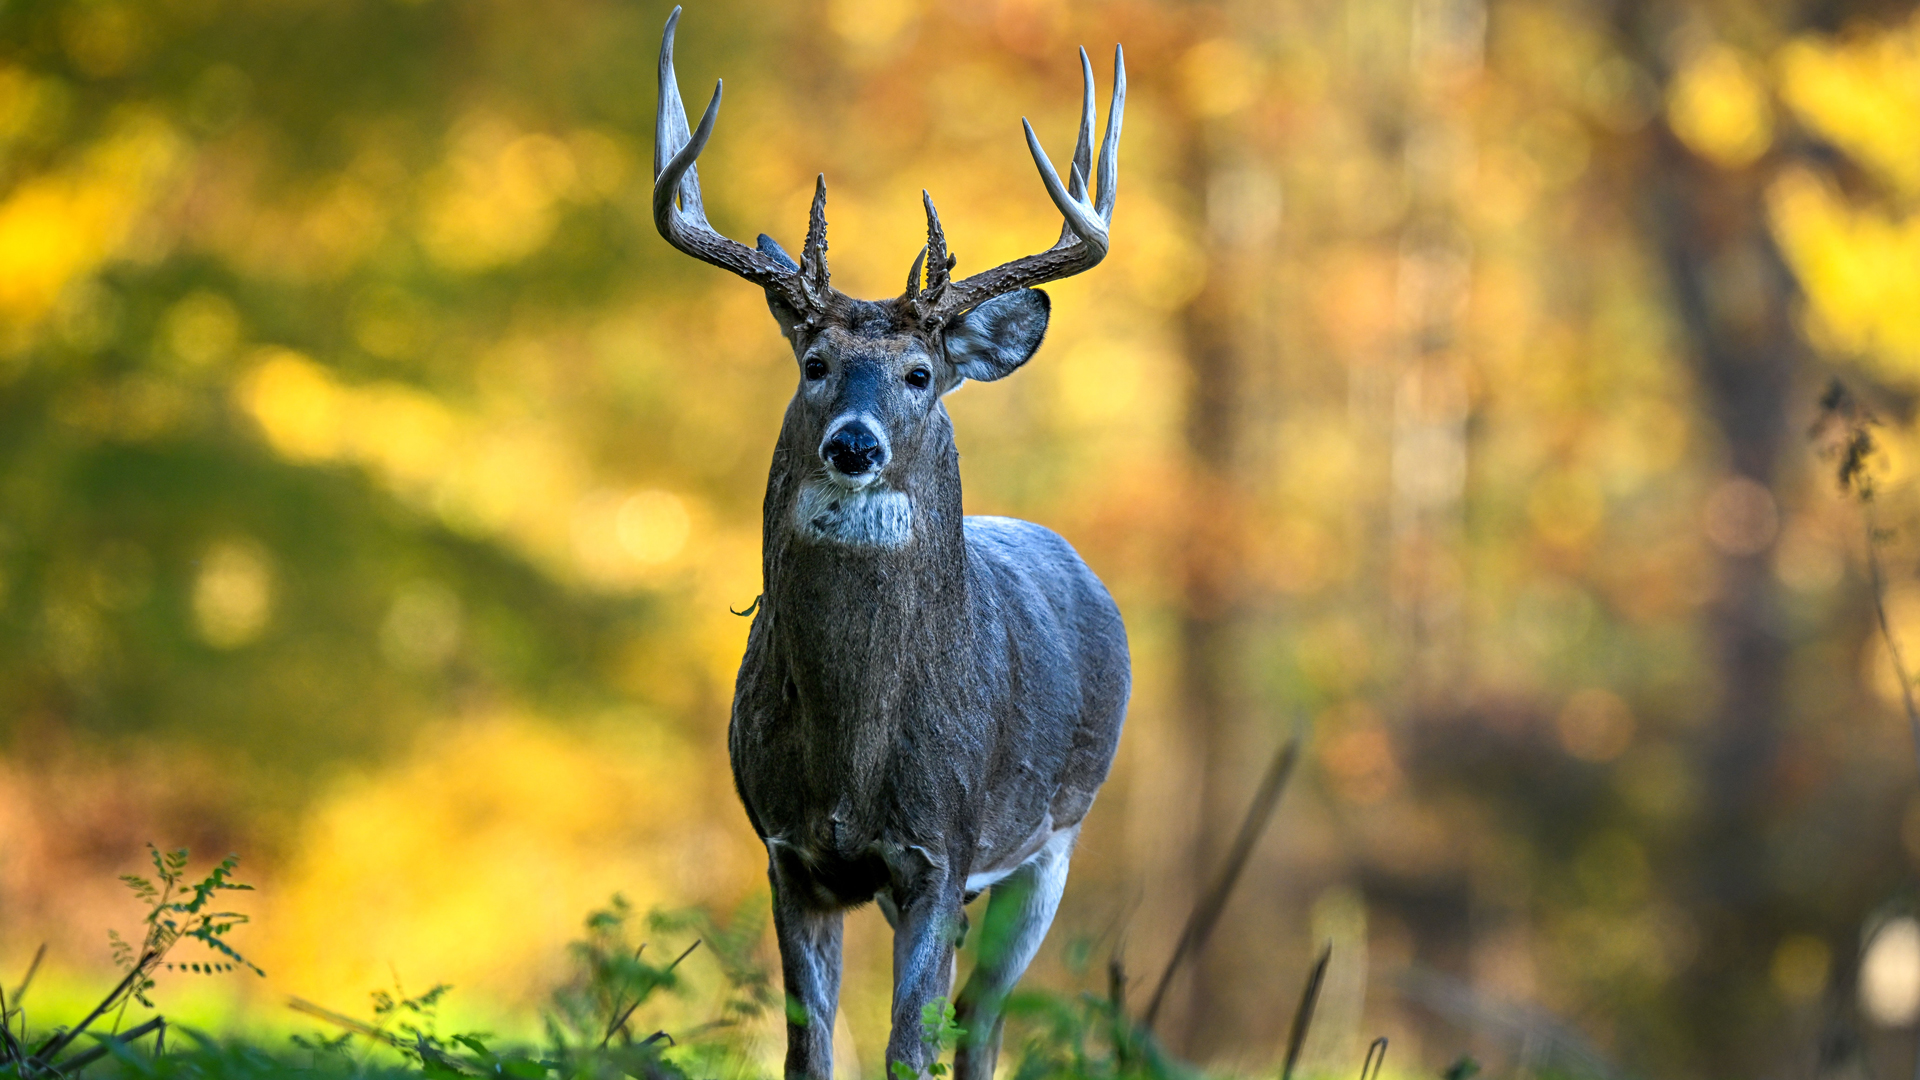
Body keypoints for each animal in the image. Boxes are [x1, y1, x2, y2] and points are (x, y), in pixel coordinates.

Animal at [651, 10, 1128, 1080]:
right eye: (815, 362)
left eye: (919, 373)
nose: (854, 444)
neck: (854, 754)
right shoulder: (789, 853)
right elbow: (810, 1050)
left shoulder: (941, 854)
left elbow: (911, 1047)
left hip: (1056, 841)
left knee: (982, 1024)